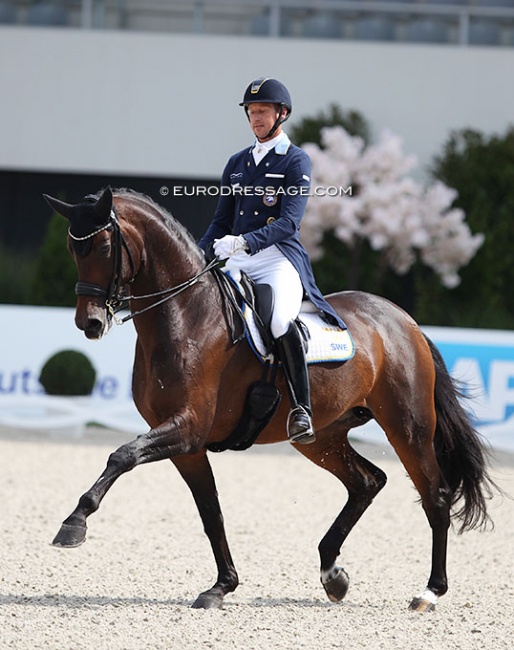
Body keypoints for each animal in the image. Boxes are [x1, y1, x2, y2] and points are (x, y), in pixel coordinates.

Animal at [43, 186, 492, 608]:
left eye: (103, 247)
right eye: (71, 249)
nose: (90, 323)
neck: (186, 315)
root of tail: (404, 321)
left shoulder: (187, 429)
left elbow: (121, 455)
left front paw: (74, 523)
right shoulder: (187, 446)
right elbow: (211, 512)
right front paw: (221, 586)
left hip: (408, 427)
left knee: (434, 497)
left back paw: (429, 592)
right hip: (322, 437)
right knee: (367, 481)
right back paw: (333, 574)